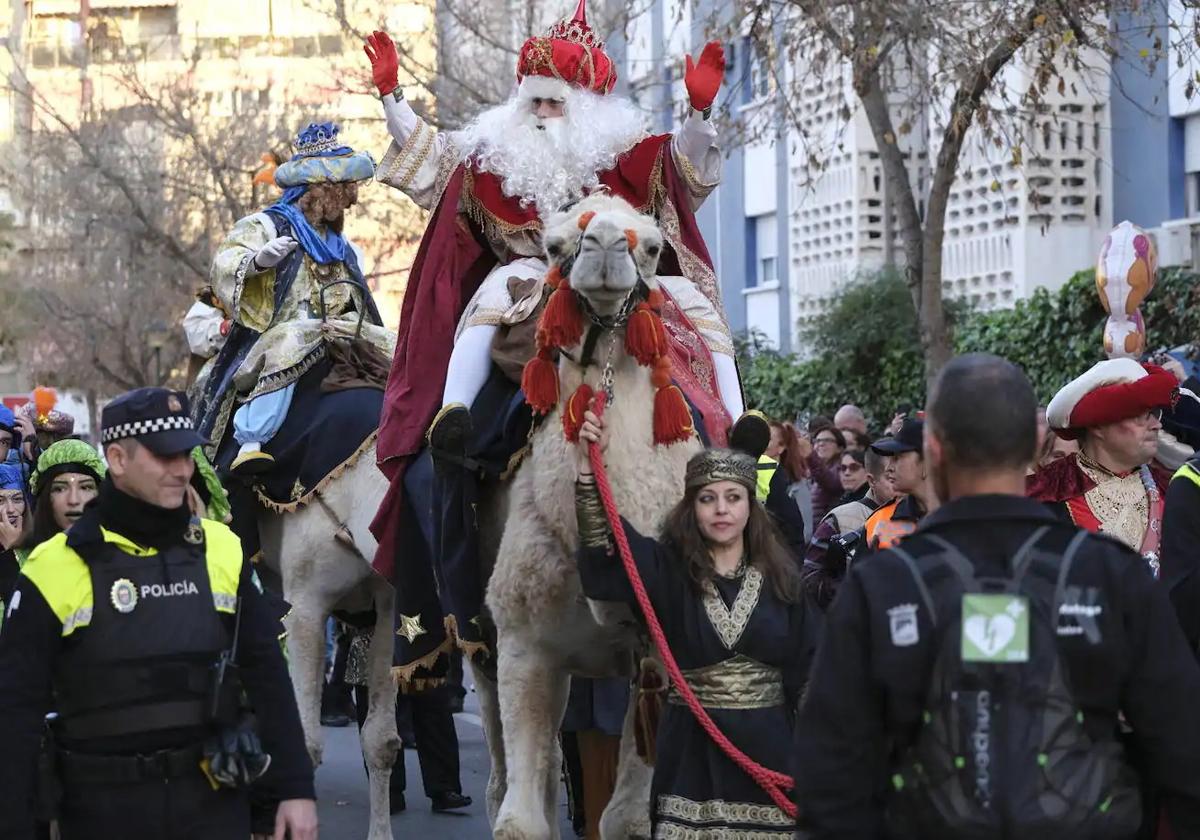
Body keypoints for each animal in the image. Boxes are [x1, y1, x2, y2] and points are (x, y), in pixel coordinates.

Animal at [475, 192, 705, 840]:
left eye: (652, 245)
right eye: (554, 245)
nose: (603, 246)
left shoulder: (663, 651)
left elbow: (626, 818)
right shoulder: (524, 643)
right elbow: (520, 822)